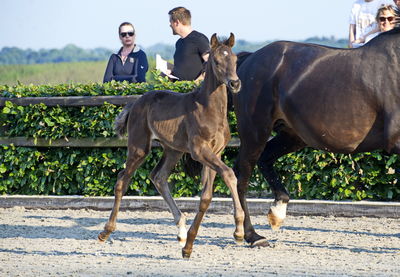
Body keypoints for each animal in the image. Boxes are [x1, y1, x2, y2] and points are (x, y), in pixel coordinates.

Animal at [99, 33, 244, 258]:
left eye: (235, 60)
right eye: (216, 61)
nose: (235, 83)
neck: (209, 109)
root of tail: (136, 102)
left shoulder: (216, 152)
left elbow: (207, 196)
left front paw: (189, 245)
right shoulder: (199, 151)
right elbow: (228, 174)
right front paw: (238, 230)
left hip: (173, 150)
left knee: (158, 177)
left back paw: (181, 230)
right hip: (139, 147)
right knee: (122, 180)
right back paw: (106, 231)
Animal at [233, 28, 400, 246]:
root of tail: (250, 58)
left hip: (293, 136)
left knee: (264, 159)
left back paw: (276, 213)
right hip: (255, 131)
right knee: (242, 177)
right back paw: (252, 235)